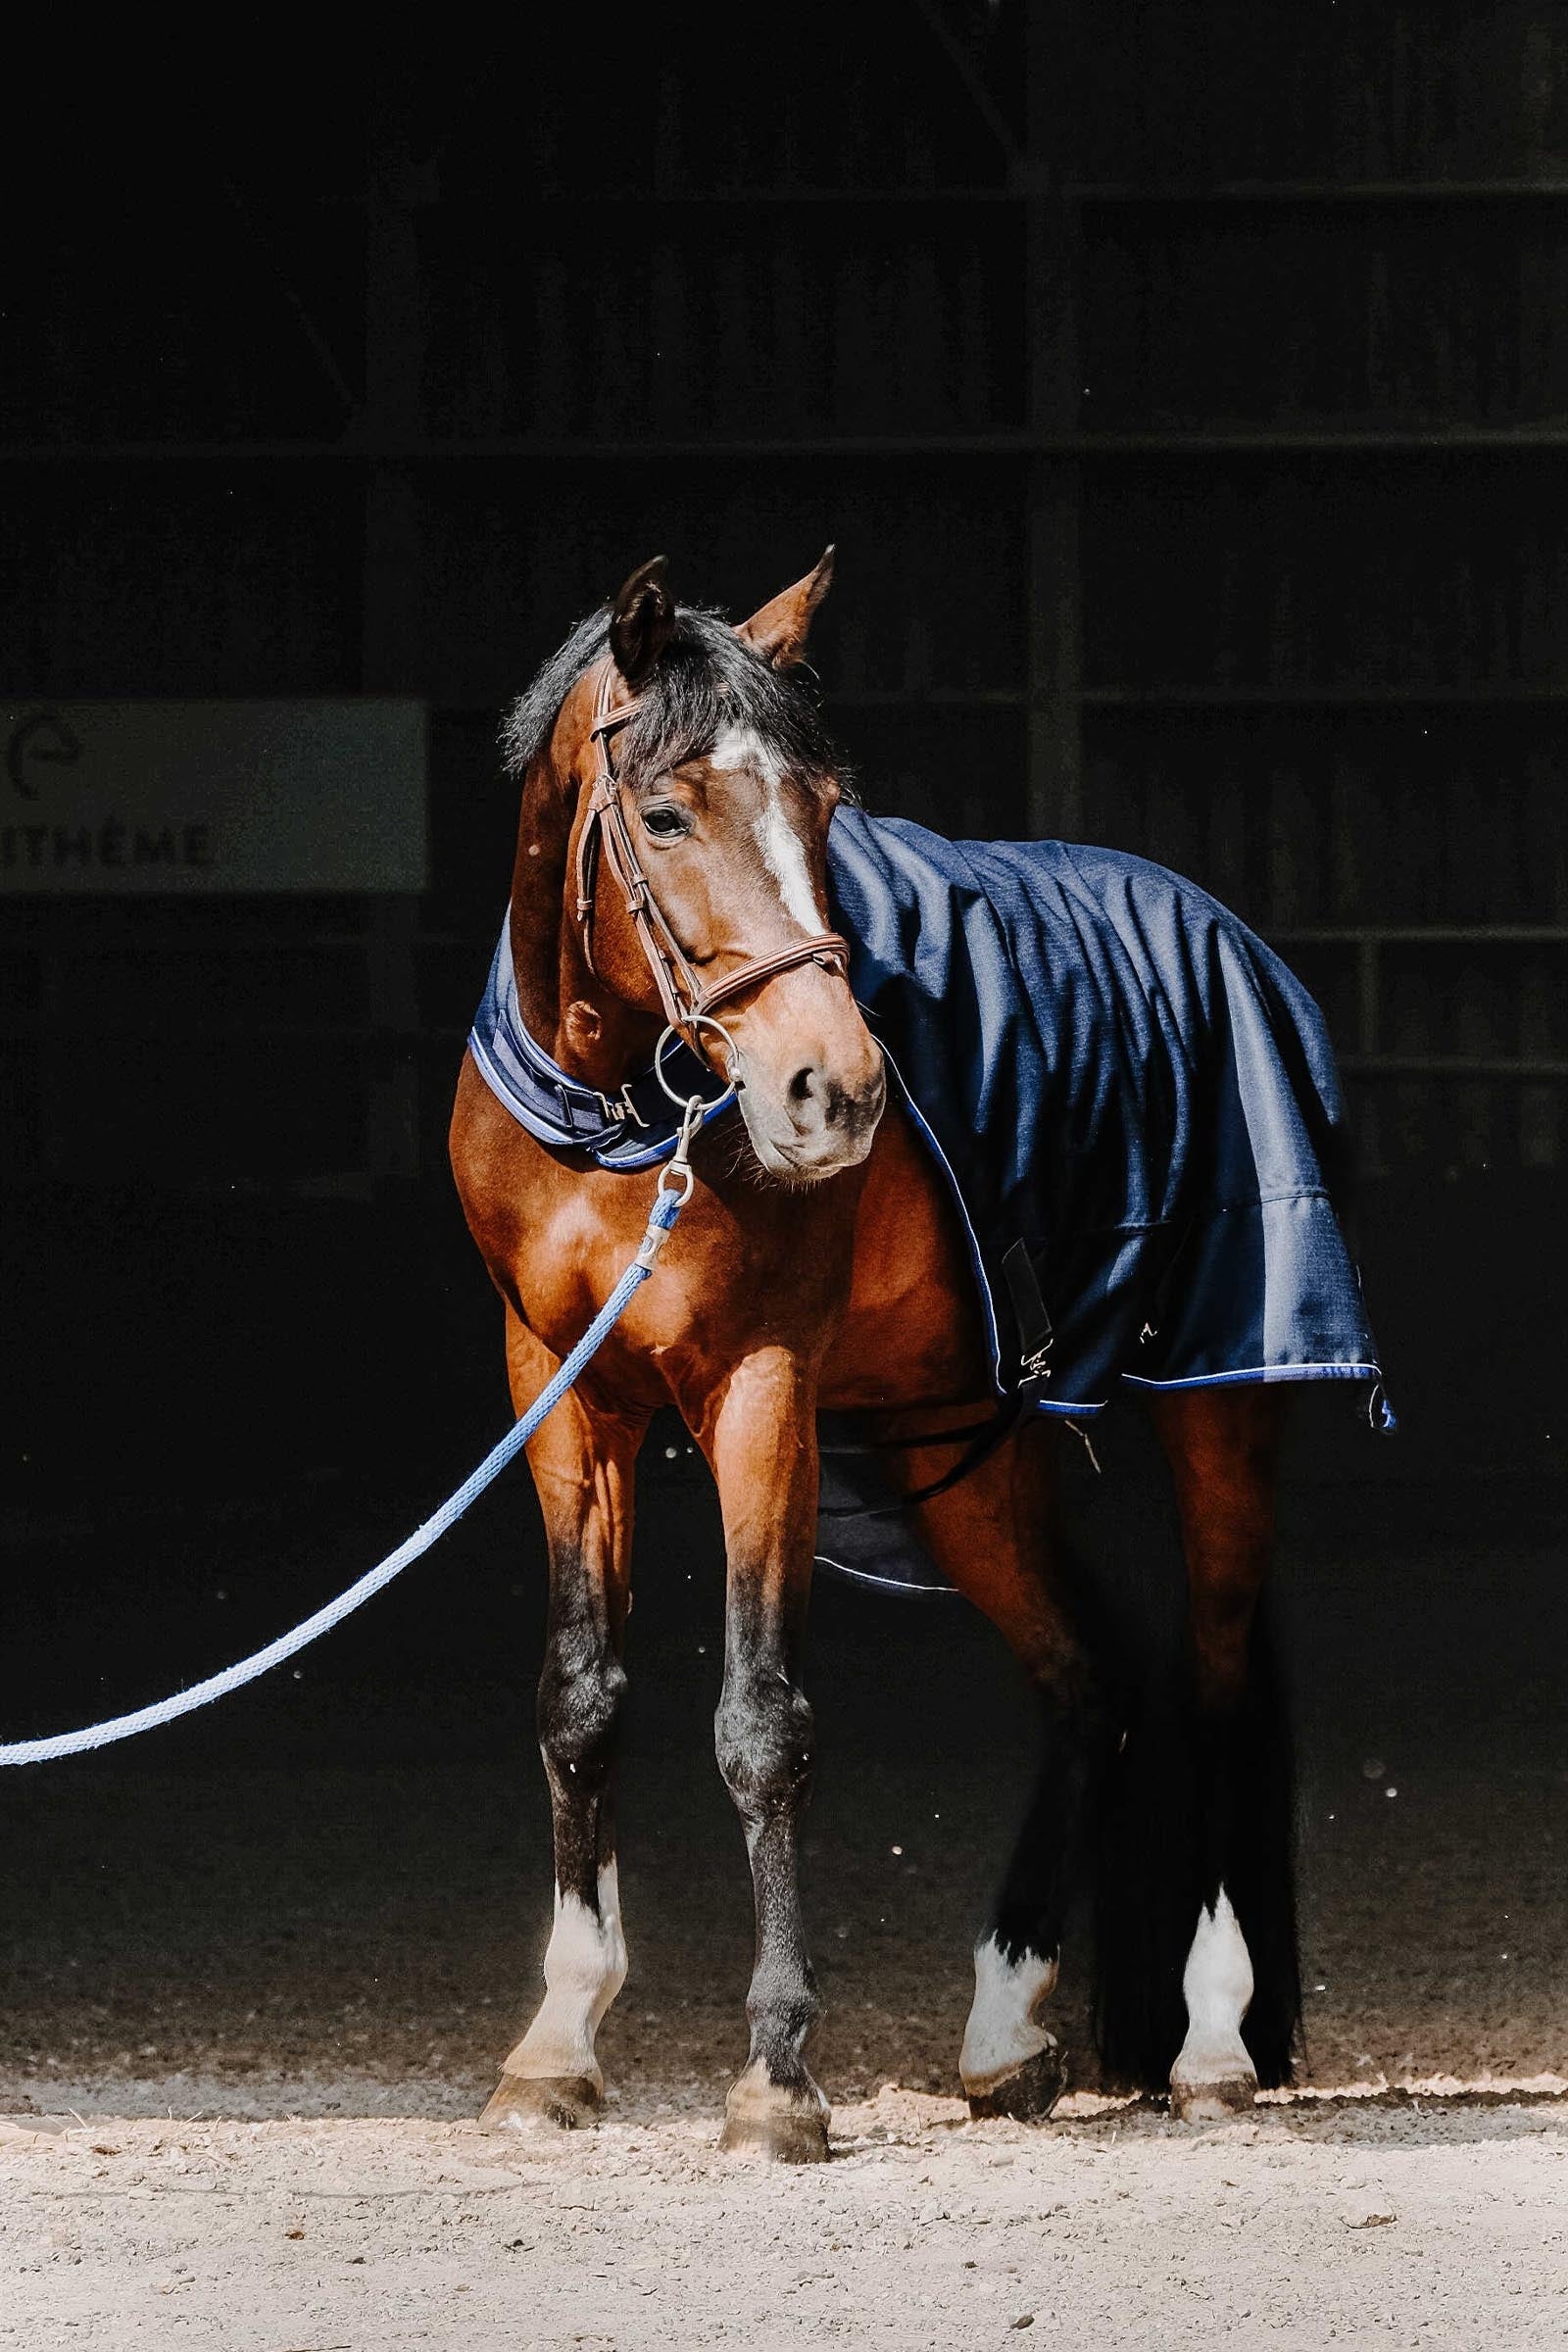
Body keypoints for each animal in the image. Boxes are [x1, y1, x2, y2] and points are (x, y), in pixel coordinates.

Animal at [449, 551, 1382, 2160]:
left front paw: (777, 2077)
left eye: (822, 806)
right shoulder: (561, 1391)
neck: (614, 1118)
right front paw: (557, 2044)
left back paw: (1208, 2042)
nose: (833, 1090)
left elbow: (761, 1725)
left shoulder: (761, 1387)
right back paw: (1006, 2027)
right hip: (960, 1447)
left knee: (1205, 1682)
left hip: (1220, 1410)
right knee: (1088, 1681)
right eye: (665, 813)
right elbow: (580, 1702)